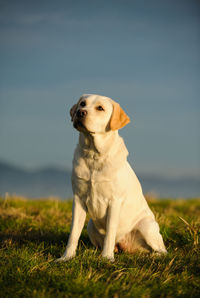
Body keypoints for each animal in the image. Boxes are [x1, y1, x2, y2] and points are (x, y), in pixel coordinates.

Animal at [57, 93, 166, 260]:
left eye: (100, 108)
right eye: (82, 104)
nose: (80, 113)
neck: (94, 155)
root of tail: (126, 246)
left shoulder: (114, 201)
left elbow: (110, 233)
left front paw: (107, 258)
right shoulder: (78, 199)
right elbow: (73, 233)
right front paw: (66, 257)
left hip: (147, 226)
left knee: (162, 250)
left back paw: (153, 256)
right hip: (90, 225)